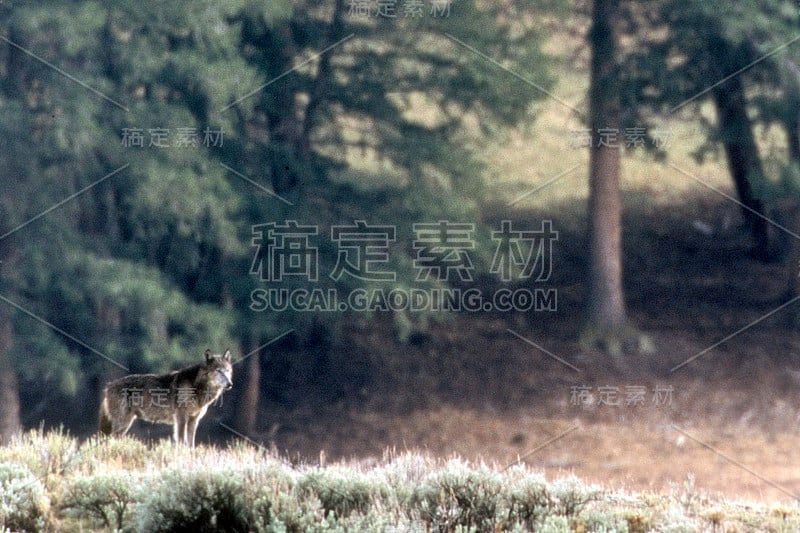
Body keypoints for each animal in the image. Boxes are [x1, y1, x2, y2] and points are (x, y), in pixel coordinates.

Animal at [98, 350, 233, 444]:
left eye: (227, 371)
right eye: (218, 371)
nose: (230, 384)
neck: (196, 387)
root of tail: (108, 387)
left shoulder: (193, 420)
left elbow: (191, 444)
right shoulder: (181, 418)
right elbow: (181, 441)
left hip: (125, 425)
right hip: (123, 424)